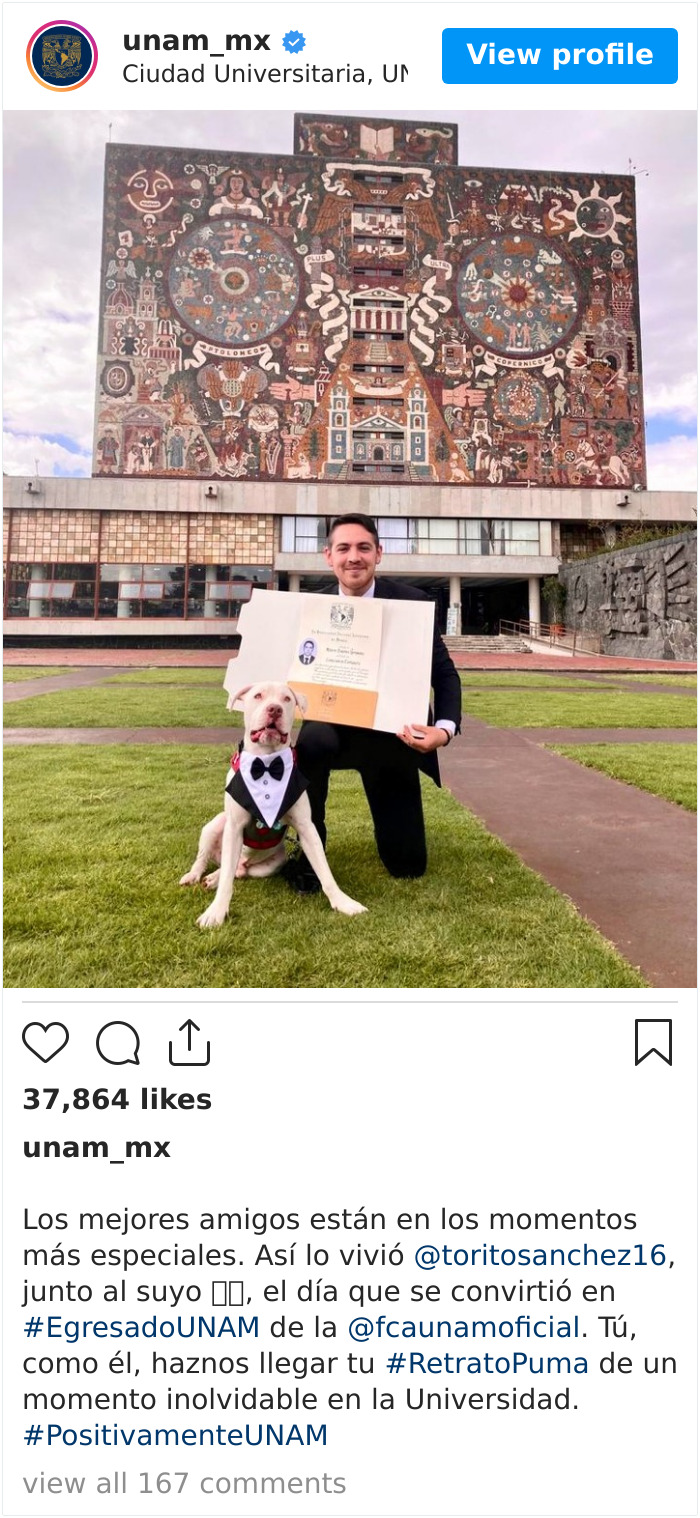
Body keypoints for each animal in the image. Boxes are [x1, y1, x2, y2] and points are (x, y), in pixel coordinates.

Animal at [178, 686, 365, 922]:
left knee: (237, 870)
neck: (266, 762)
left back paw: (215, 877)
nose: (274, 709)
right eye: (258, 696)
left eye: (286, 698)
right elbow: (226, 883)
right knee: (208, 860)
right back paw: (196, 875)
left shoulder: (306, 827)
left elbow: (324, 870)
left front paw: (343, 903)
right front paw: (216, 912)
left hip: (270, 865)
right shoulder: (234, 827)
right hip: (215, 825)